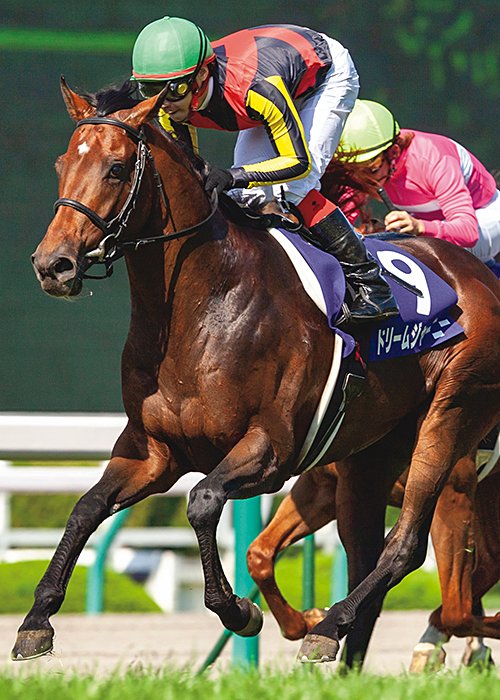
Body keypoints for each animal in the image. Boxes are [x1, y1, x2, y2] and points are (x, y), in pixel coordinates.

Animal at [12, 78, 500, 666]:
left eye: (116, 167)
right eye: (63, 163)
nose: (53, 264)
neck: (203, 309)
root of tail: (479, 275)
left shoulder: (270, 449)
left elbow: (203, 503)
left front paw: (239, 611)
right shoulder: (153, 452)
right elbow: (85, 509)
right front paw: (36, 620)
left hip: (451, 419)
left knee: (406, 548)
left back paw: (330, 624)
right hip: (368, 457)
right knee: (374, 558)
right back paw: (333, 632)